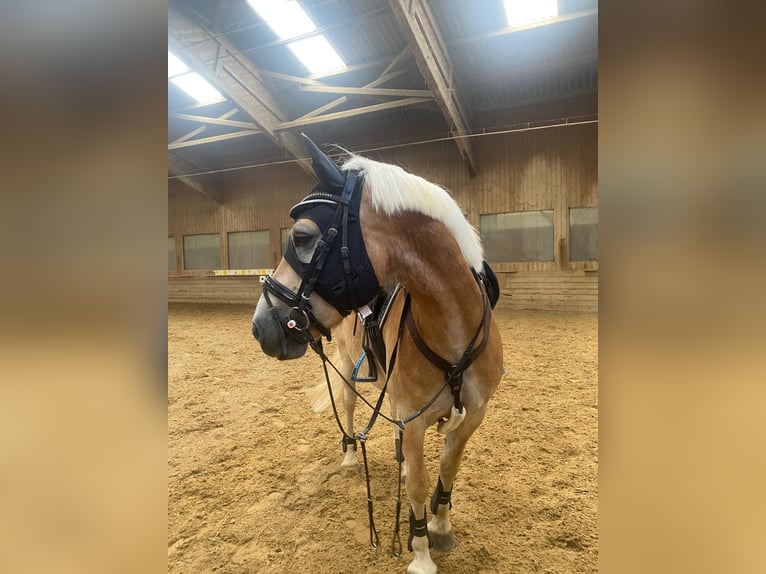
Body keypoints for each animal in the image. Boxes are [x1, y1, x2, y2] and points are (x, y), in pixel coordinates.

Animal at [250, 136, 504, 574]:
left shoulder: (472, 415)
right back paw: (352, 456)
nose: (261, 325)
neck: (453, 330)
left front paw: (439, 526)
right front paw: (420, 553)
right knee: (350, 409)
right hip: (352, 376)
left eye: (302, 236)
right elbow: (419, 484)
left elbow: (447, 469)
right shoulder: (415, 419)